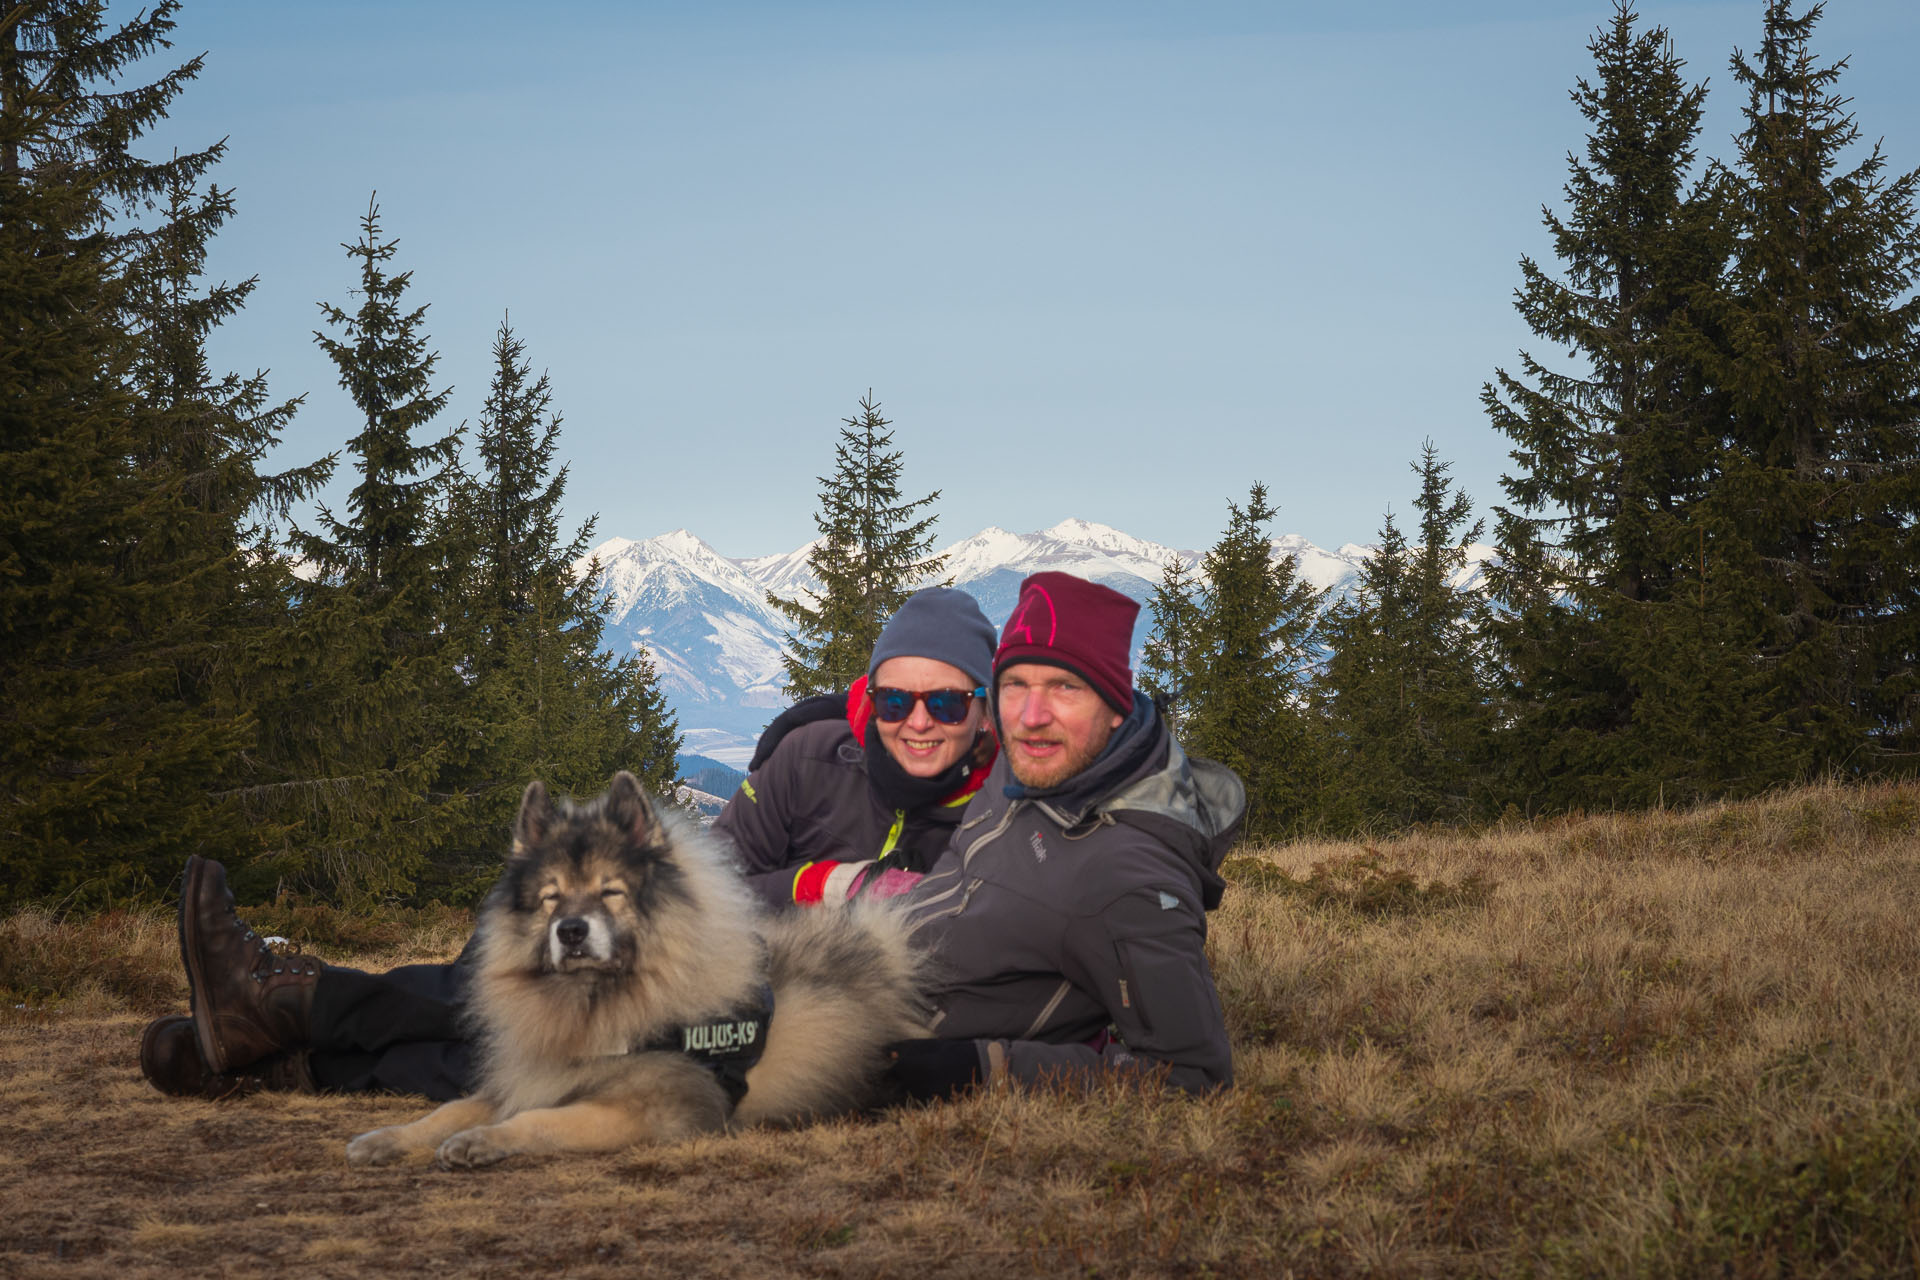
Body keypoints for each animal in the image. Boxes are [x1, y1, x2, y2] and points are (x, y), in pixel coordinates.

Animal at [347, 771, 929, 1174]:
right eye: (551, 897)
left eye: (610, 892)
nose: (571, 931)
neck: (596, 1003)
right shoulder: (526, 1076)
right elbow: (447, 1111)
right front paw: (387, 1137)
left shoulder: (652, 1110)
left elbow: (543, 1119)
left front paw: (483, 1141)